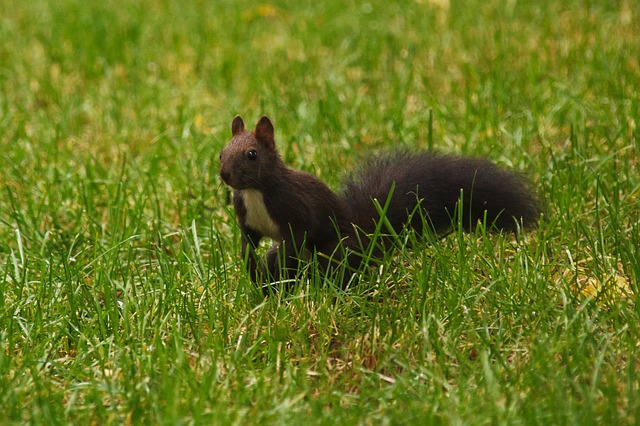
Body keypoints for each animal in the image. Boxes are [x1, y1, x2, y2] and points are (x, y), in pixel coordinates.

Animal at [219, 115, 540, 292]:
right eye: (222, 152)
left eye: (251, 154)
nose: (224, 174)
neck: (255, 192)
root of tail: (366, 238)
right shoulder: (247, 219)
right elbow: (249, 240)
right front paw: (251, 266)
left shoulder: (295, 211)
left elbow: (298, 237)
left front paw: (282, 269)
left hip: (339, 249)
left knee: (335, 267)